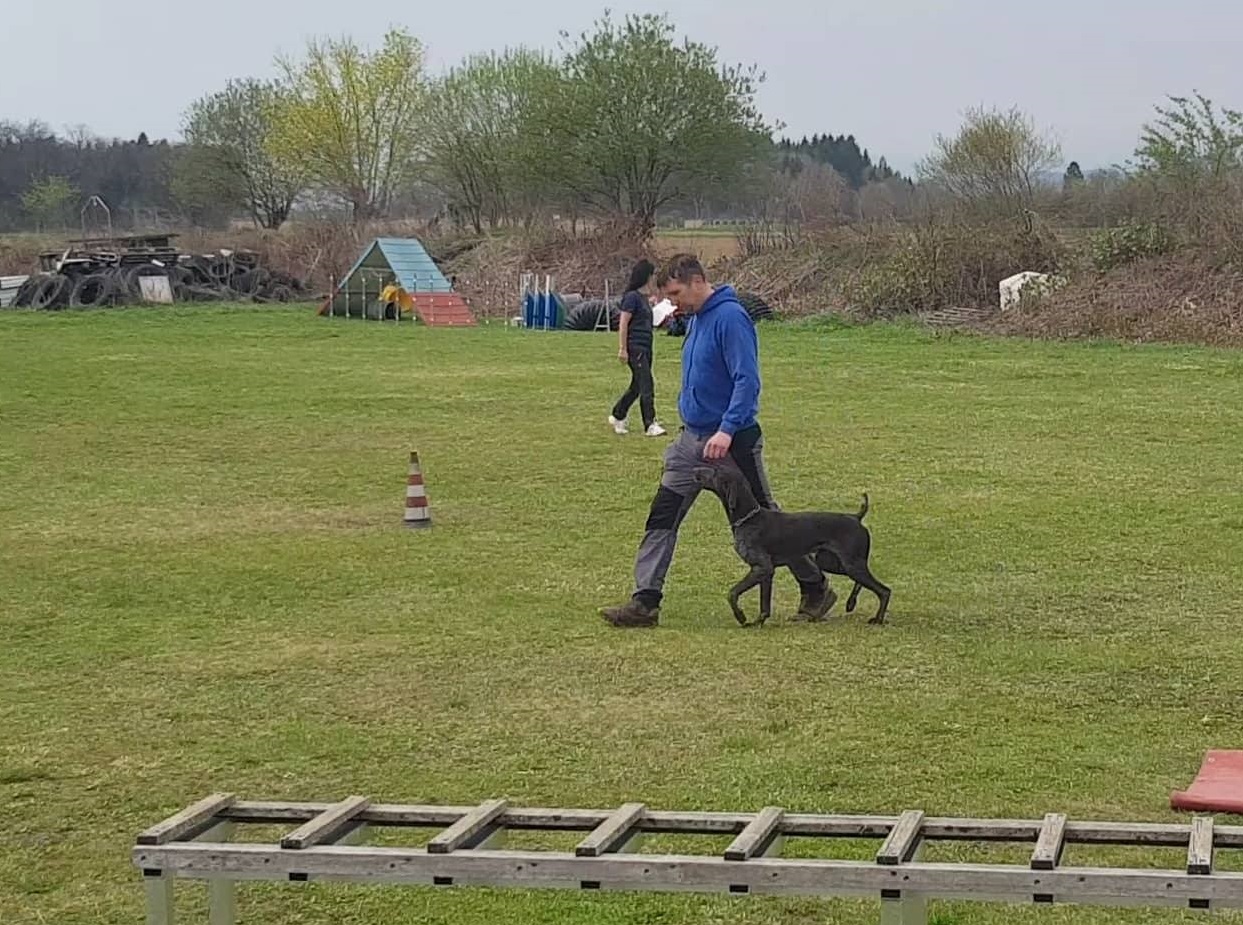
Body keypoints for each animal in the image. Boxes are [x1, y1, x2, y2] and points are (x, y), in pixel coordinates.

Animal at [691, 465, 891, 627]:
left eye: (715, 471)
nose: (694, 470)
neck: (749, 518)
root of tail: (856, 517)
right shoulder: (765, 572)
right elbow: (764, 605)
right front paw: (758, 622)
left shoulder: (761, 567)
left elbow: (732, 593)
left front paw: (741, 617)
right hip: (833, 563)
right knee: (862, 583)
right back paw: (850, 603)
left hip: (850, 565)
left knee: (884, 591)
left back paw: (878, 619)